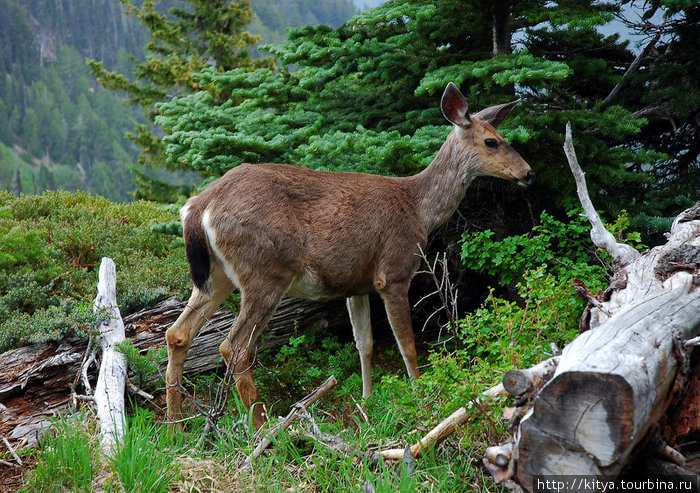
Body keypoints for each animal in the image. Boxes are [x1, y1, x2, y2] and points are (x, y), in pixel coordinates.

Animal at [165, 82, 536, 428]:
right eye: (492, 141)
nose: (529, 173)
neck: (418, 209)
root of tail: (199, 206)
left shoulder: (356, 286)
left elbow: (365, 343)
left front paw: (367, 402)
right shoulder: (394, 272)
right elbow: (407, 344)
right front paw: (420, 397)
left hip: (217, 276)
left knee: (177, 334)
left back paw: (175, 428)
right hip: (266, 270)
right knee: (234, 347)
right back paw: (264, 429)